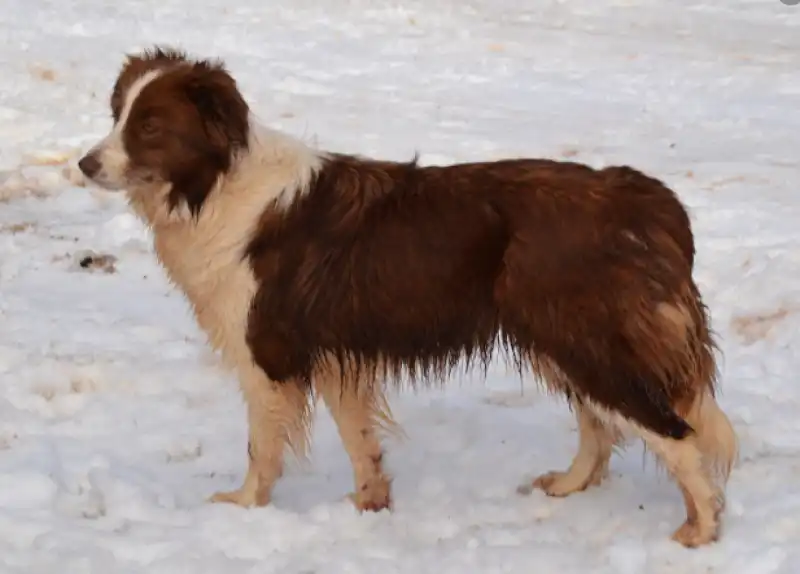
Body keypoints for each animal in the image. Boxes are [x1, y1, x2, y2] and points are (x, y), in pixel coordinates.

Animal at [78, 46, 740, 548]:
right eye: (116, 113)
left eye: (149, 127)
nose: (84, 164)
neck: (215, 185)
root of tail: (646, 199)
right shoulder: (335, 353)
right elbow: (359, 442)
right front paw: (369, 506)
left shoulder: (268, 355)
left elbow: (260, 448)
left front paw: (242, 509)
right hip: (563, 339)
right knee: (601, 426)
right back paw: (571, 486)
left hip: (587, 341)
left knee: (672, 430)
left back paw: (701, 528)